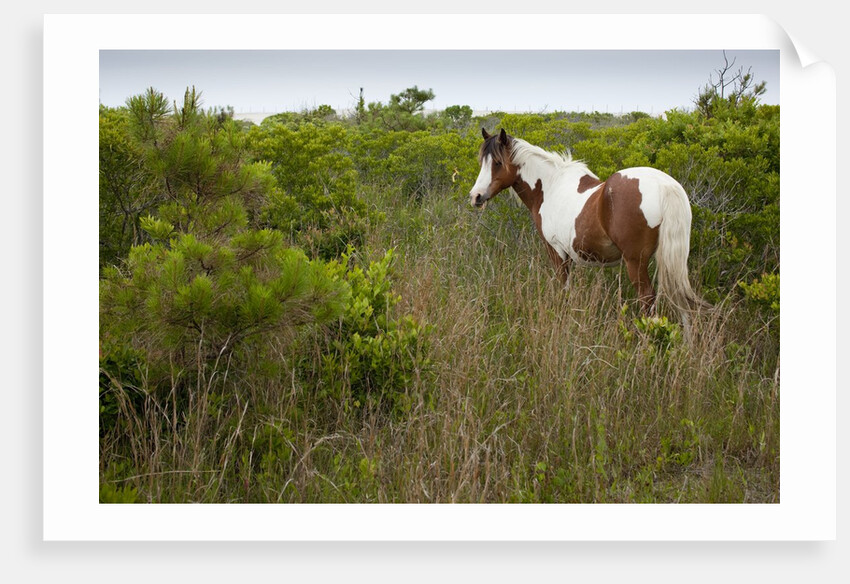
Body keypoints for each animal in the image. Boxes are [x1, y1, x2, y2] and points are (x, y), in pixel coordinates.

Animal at [469, 128, 708, 327]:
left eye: (498, 162)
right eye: (482, 162)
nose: (476, 196)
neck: (550, 187)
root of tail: (665, 185)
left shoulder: (556, 252)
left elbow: (564, 288)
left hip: (635, 262)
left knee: (648, 300)